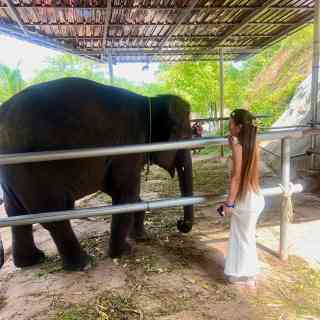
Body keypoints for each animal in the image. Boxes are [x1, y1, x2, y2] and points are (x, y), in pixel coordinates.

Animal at [0, 77, 192, 270]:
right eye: (185, 138)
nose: (180, 223)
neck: (150, 101)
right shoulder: (128, 148)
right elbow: (125, 195)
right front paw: (122, 252)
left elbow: (124, 194)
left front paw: (141, 238)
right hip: (35, 171)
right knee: (55, 216)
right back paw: (83, 264)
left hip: (13, 176)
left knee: (16, 213)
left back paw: (32, 261)